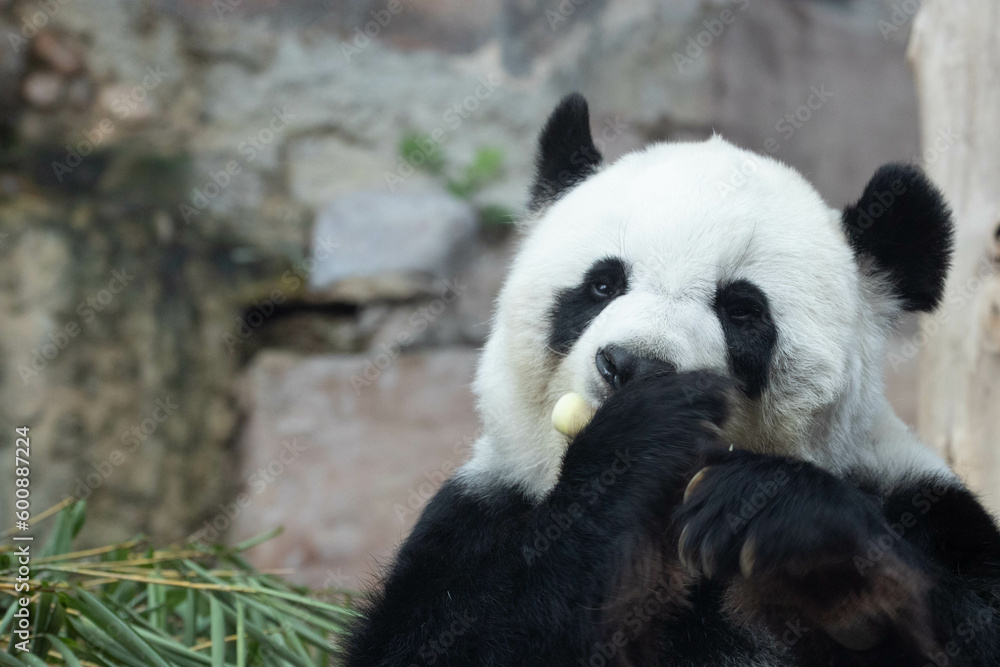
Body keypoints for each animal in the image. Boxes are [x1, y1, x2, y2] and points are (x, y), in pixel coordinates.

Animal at [344, 94, 1000, 666]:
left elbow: (972, 620)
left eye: (742, 310)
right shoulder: (481, 513)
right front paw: (643, 435)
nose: (633, 365)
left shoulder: (919, 500)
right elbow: (448, 639)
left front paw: (790, 526)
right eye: (603, 284)